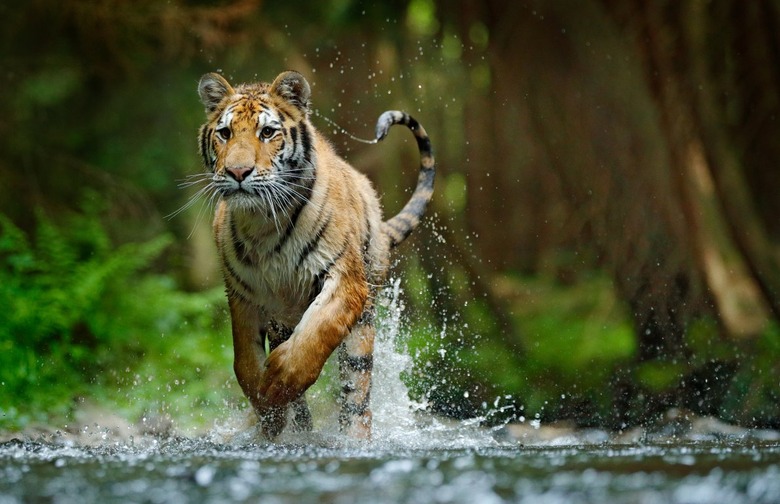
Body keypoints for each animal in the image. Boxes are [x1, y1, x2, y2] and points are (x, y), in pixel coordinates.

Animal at [195, 70, 435, 439]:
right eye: (225, 133)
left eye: (267, 132)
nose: (237, 173)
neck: (263, 223)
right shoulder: (242, 293)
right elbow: (245, 362)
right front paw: (268, 410)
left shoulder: (345, 280)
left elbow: (315, 335)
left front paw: (278, 381)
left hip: (363, 325)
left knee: (357, 396)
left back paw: (353, 438)